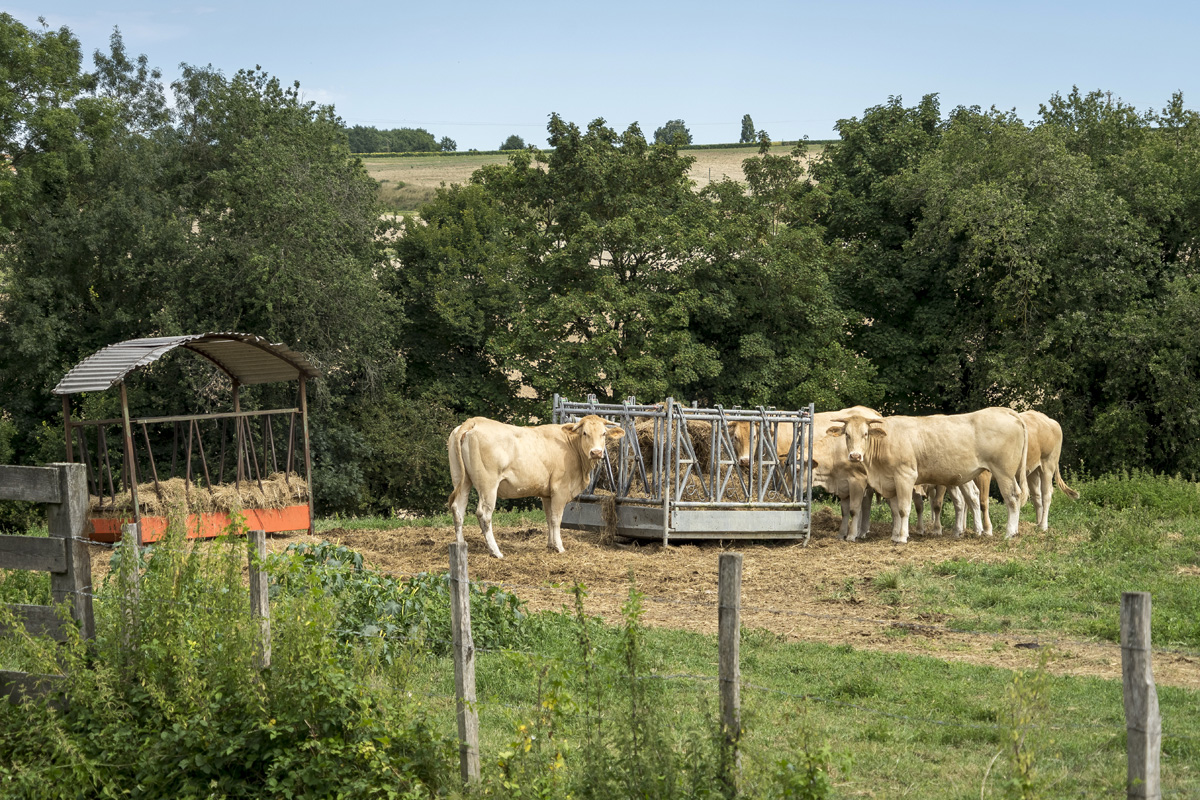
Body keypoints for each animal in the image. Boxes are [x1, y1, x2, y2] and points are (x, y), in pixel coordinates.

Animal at [446, 417, 624, 561]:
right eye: (585, 433)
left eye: (603, 434)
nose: (596, 452)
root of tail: (474, 421)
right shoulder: (560, 490)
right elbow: (556, 519)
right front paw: (559, 547)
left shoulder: (547, 494)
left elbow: (549, 518)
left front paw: (551, 545)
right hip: (488, 484)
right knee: (484, 514)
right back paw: (496, 552)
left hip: (462, 479)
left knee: (458, 509)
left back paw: (460, 545)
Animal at [825, 407, 1032, 544]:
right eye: (847, 435)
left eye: (866, 434)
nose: (855, 456)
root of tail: (1004, 411)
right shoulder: (890, 480)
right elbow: (895, 510)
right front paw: (895, 534)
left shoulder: (905, 476)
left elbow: (903, 509)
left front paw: (902, 537)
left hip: (1003, 471)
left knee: (1012, 497)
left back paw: (1009, 533)